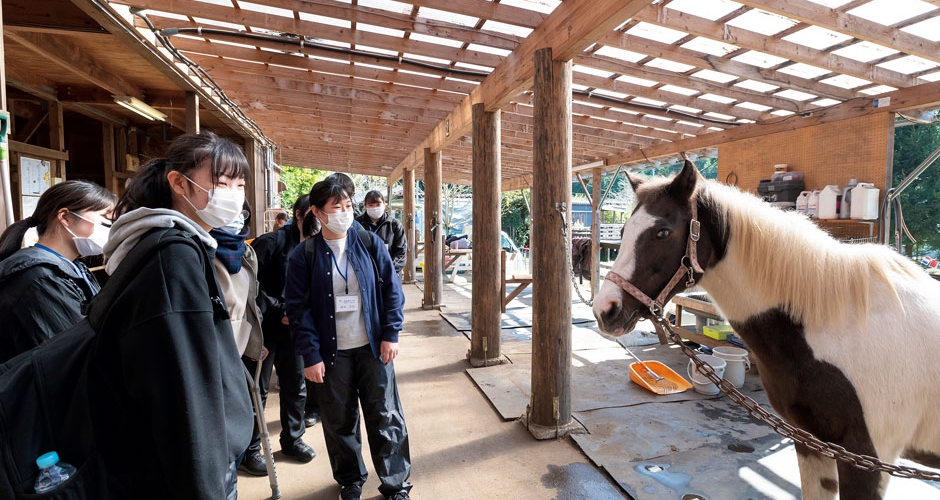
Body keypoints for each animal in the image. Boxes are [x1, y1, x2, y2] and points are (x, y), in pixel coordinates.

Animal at [600, 161, 940, 500]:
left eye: (663, 232)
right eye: (623, 231)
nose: (605, 310)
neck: (837, 323)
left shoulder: (867, 459)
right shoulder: (811, 443)